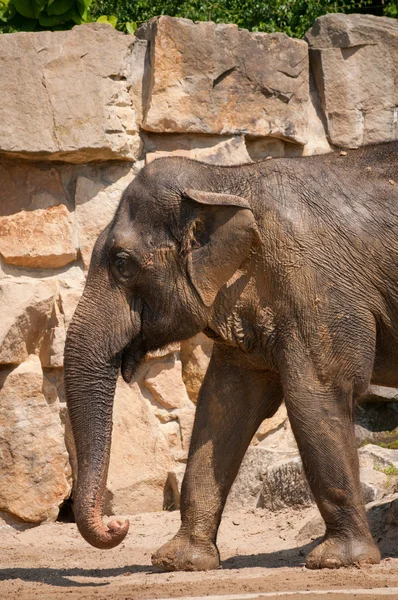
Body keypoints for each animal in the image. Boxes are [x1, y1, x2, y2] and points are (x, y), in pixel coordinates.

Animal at [64, 141, 398, 572]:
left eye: (122, 264)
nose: (117, 525)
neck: (225, 179)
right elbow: (222, 404)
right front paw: (180, 561)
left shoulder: (319, 290)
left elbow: (318, 392)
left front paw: (337, 561)